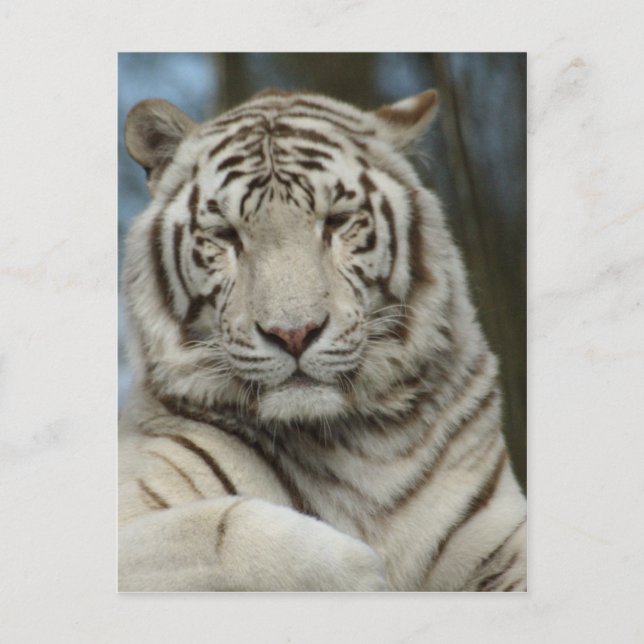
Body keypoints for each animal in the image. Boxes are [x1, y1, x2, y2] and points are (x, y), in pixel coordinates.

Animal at [118, 87, 527, 592]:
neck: (363, 448)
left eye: (337, 221)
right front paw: (370, 575)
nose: (293, 333)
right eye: (226, 235)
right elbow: (226, 530)